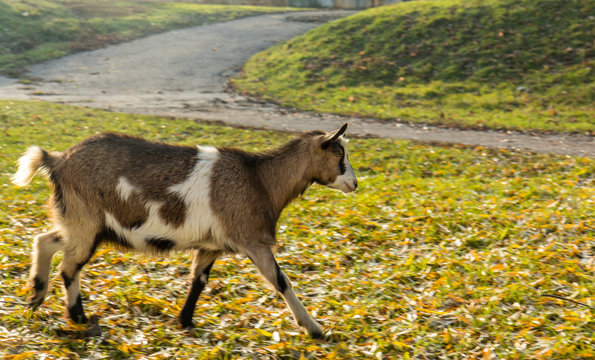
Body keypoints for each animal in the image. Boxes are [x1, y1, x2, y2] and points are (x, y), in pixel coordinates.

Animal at [12, 124, 358, 338]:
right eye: (338, 153)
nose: (354, 183)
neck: (259, 179)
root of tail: (58, 160)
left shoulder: (211, 245)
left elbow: (199, 281)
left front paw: (185, 321)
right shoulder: (252, 241)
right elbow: (281, 280)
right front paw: (314, 328)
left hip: (79, 221)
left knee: (45, 241)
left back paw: (36, 295)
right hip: (86, 222)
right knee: (69, 267)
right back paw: (77, 317)